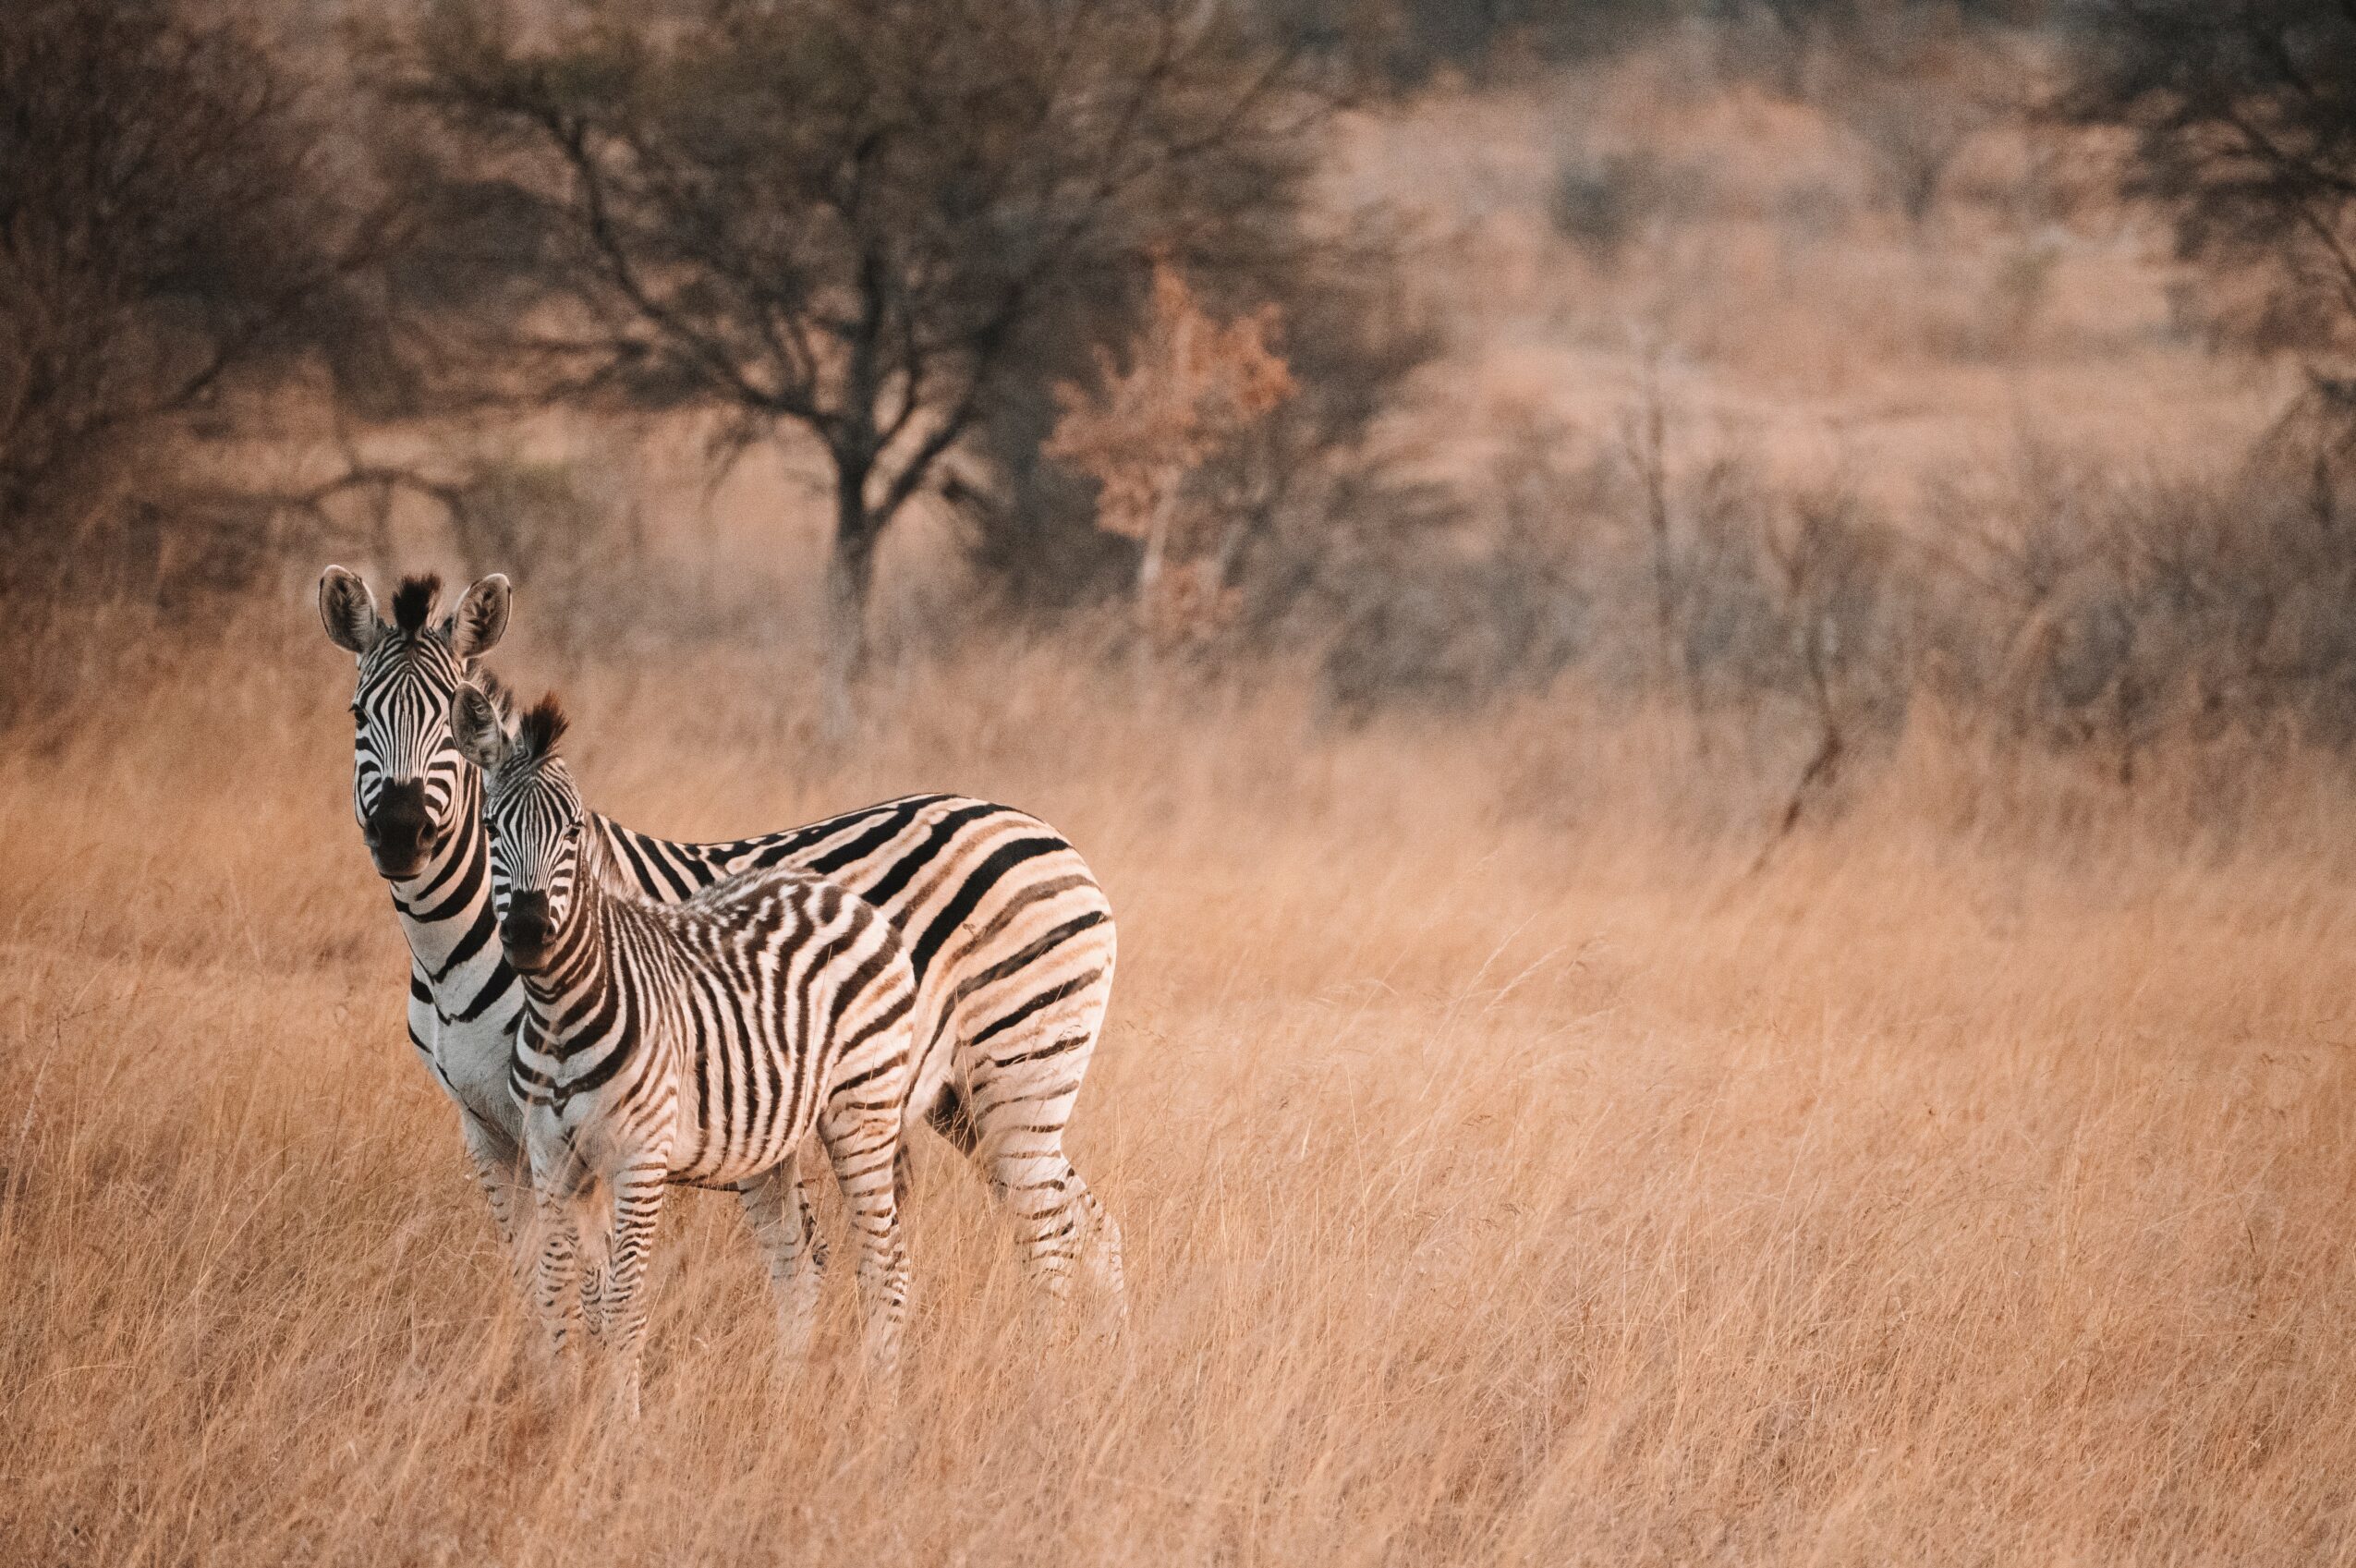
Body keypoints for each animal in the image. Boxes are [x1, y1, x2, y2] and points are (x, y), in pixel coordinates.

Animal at [317, 567, 1125, 1327]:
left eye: (447, 724)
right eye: (357, 714)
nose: (400, 832)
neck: (449, 951)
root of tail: (1050, 835)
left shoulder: (585, 1124)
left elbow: (590, 1290)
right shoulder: (487, 1130)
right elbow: (535, 1285)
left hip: (1019, 1071)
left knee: (1050, 1237)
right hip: (968, 1095)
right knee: (1092, 1225)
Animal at [449, 681, 916, 1409]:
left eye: (574, 831)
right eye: (493, 829)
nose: (527, 932)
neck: (557, 1013)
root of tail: (841, 894)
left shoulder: (639, 1160)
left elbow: (623, 1302)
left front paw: (620, 1423)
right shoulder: (553, 1160)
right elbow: (559, 1291)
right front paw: (560, 1407)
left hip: (863, 1108)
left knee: (886, 1263)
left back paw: (880, 1406)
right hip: (771, 1142)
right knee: (794, 1265)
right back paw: (784, 1402)